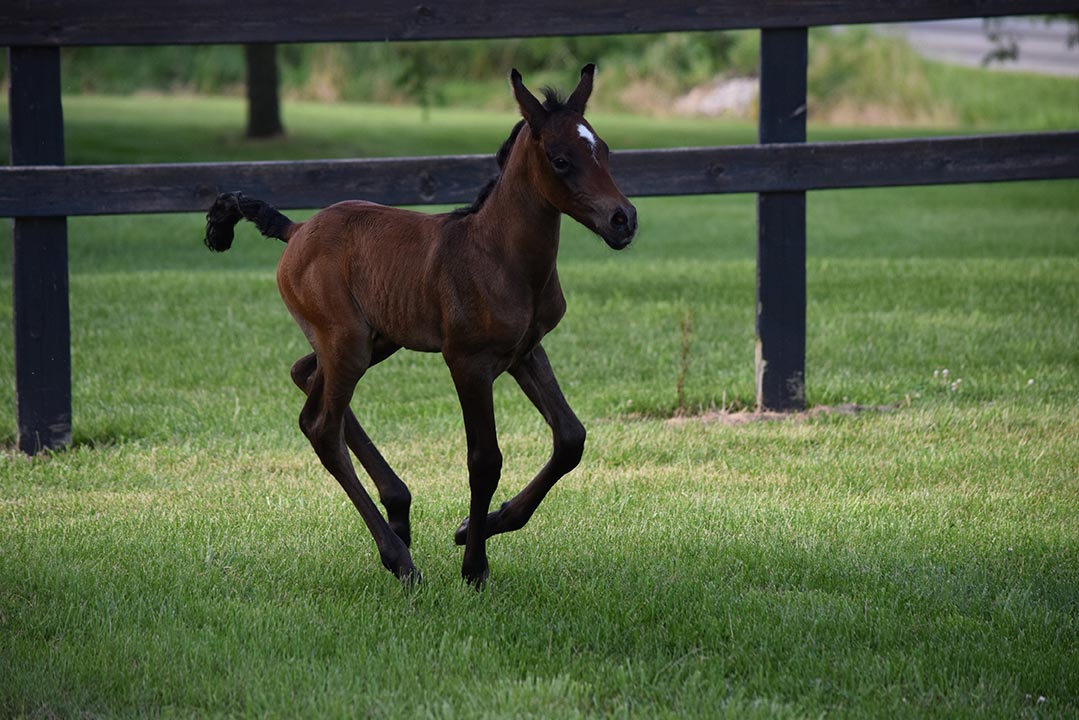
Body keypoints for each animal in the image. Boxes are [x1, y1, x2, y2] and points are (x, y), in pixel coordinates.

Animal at [203, 64, 630, 587]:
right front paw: (475, 566)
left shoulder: (525, 352)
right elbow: (485, 460)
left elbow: (570, 438)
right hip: (348, 342)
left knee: (305, 378)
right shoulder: (468, 362)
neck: (500, 256)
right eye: (560, 159)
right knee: (320, 425)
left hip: (373, 338)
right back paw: (399, 557)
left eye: (604, 150)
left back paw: (399, 510)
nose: (623, 219)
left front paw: (476, 527)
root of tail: (296, 229)